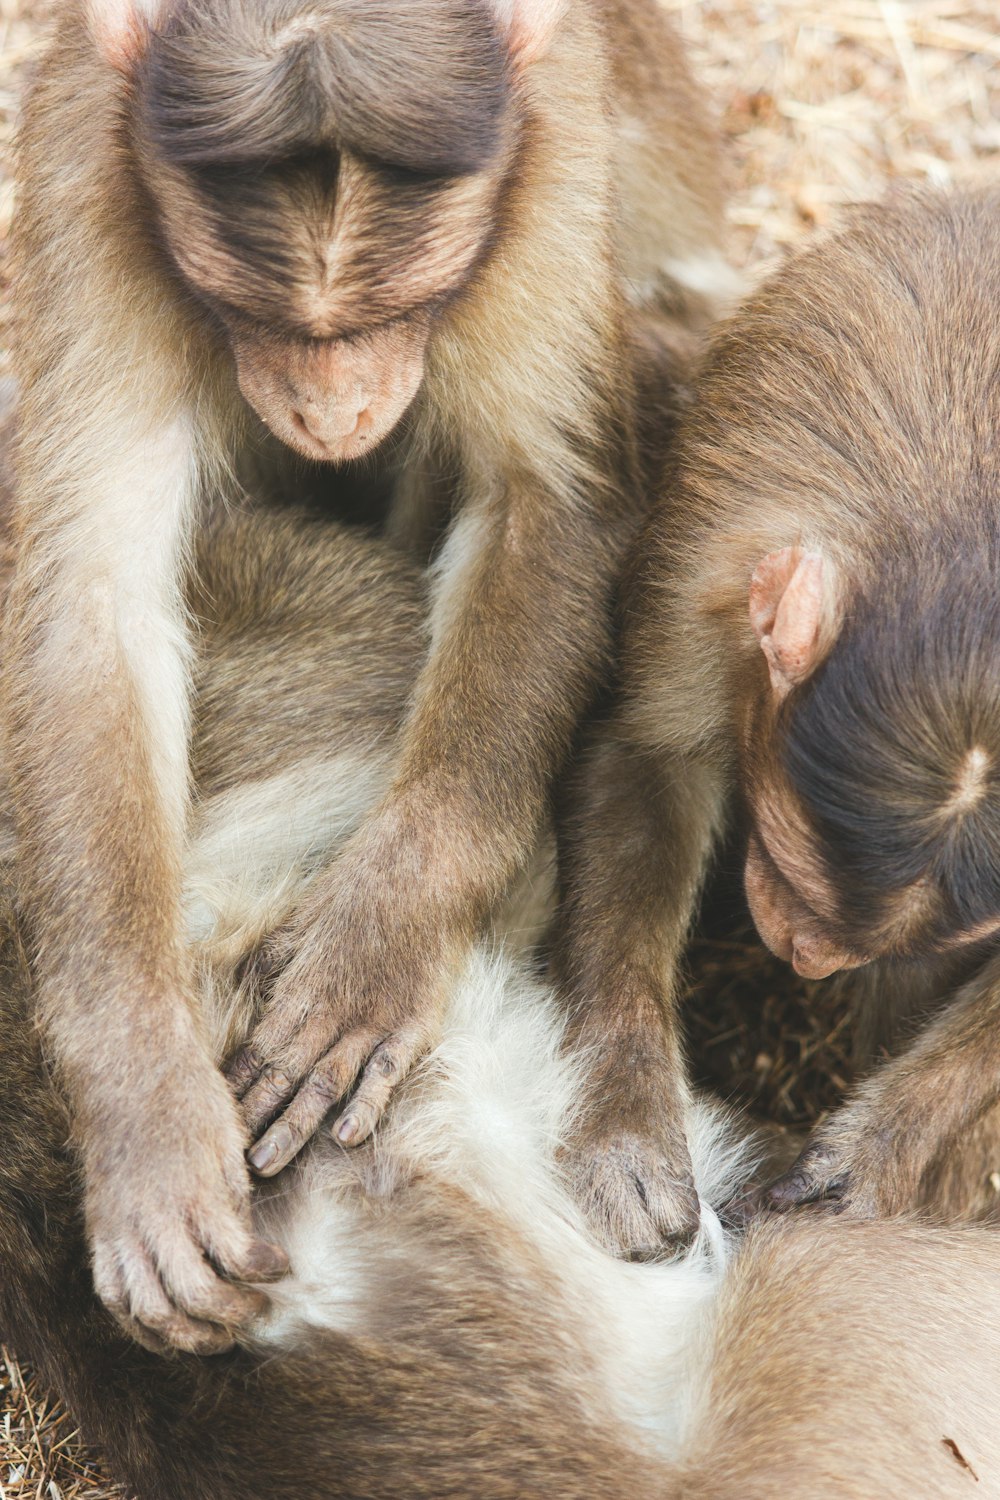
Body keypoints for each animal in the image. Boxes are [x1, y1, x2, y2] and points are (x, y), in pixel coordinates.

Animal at [3, 0, 731, 1344]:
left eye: (405, 303)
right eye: (261, 315)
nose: (331, 407)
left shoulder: (548, 166)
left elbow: (547, 503)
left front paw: (384, 940)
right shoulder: (85, 177)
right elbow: (91, 602)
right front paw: (140, 1106)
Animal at [551, 187, 1000, 1260]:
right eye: (791, 879)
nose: (809, 956)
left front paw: (879, 1145)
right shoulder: (710, 569)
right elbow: (650, 762)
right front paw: (627, 1121)